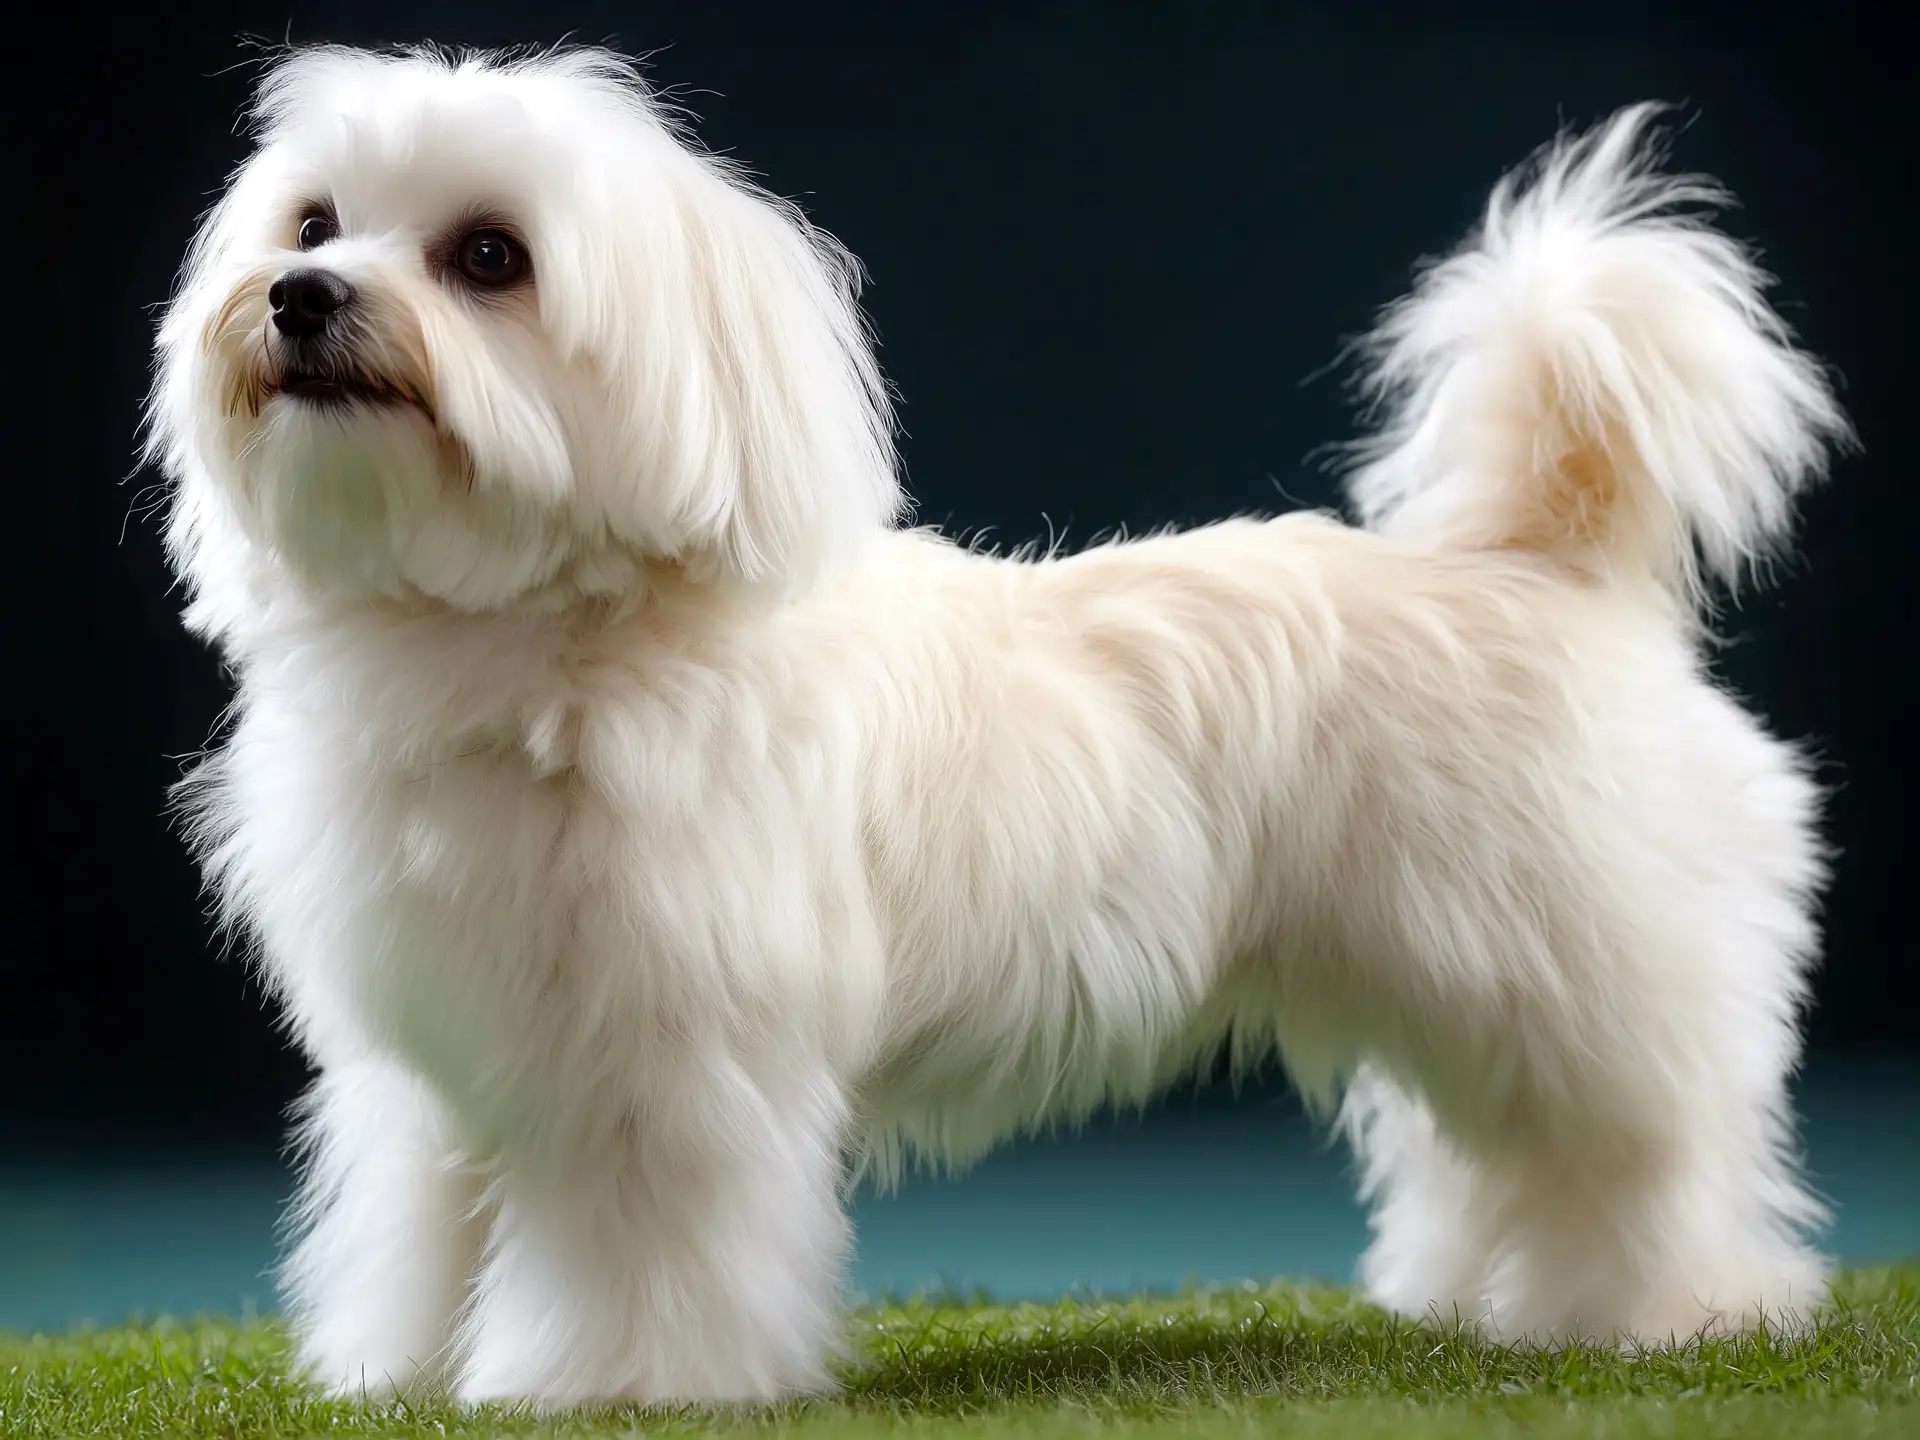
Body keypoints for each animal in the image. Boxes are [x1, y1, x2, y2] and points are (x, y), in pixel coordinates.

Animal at [149, 45, 1858, 1413]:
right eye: (313, 224)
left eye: (489, 255)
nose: (301, 296)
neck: (529, 645)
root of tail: (1541, 562)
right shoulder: (438, 1074)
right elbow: (423, 1230)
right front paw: (404, 1370)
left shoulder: (658, 1077)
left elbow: (631, 1252)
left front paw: (611, 1382)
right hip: (1463, 975)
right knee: (1497, 1152)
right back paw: (1483, 1301)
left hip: (1580, 981)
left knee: (1648, 1155)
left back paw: (1671, 1312)